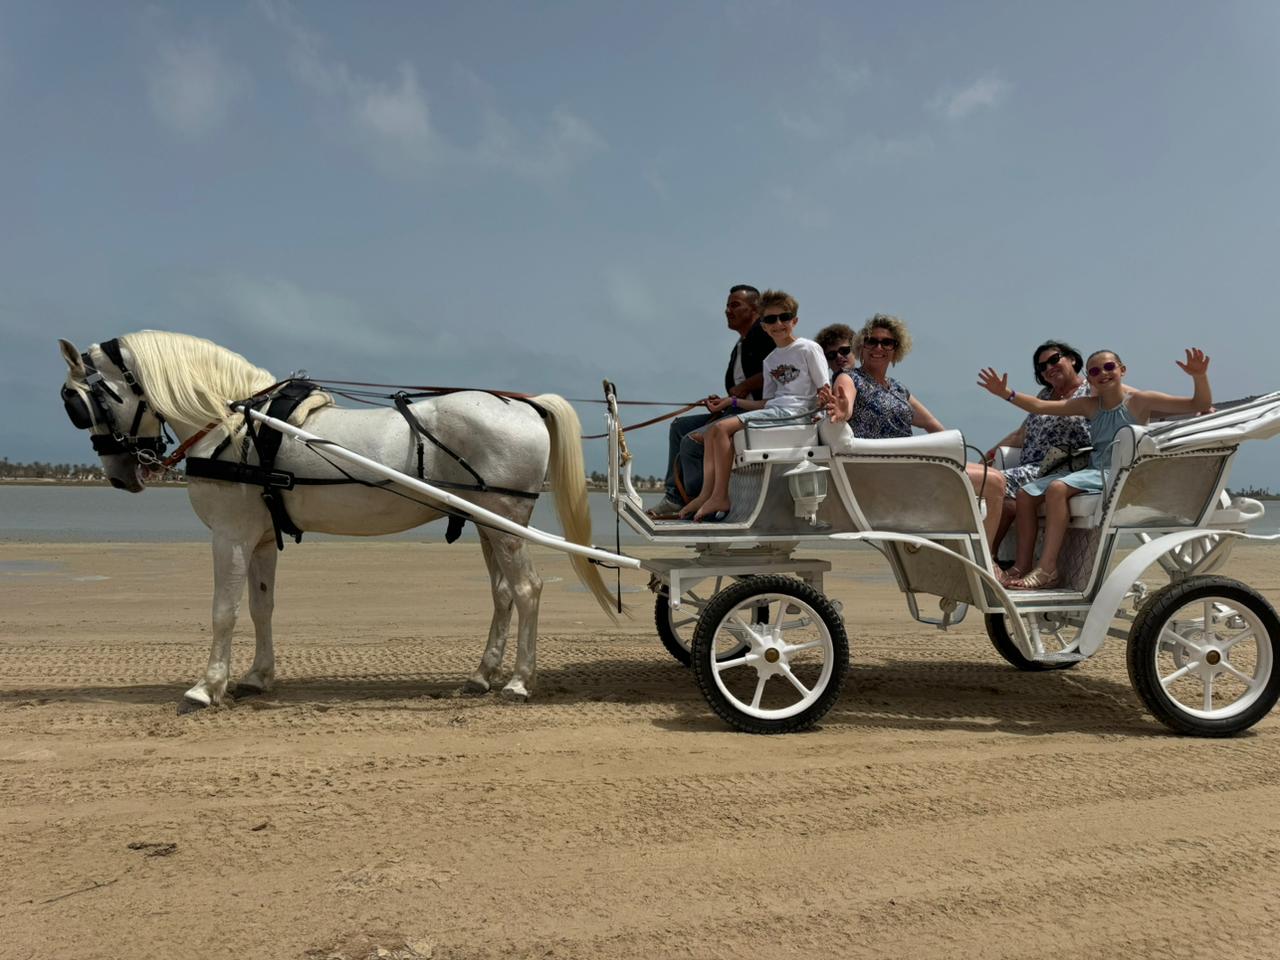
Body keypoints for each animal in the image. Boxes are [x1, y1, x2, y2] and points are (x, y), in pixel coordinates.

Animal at [57, 330, 617, 712]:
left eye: (79, 402)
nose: (120, 475)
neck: (237, 427)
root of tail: (525, 405)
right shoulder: (261, 539)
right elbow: (261, 608)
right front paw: (258, 676)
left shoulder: (230, 536)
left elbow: (223, 612)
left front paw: (206, 686)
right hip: (489, 525)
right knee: (502, 594)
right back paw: (483, 675)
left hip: (503, 521)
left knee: (527, 590)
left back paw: (520, 681)